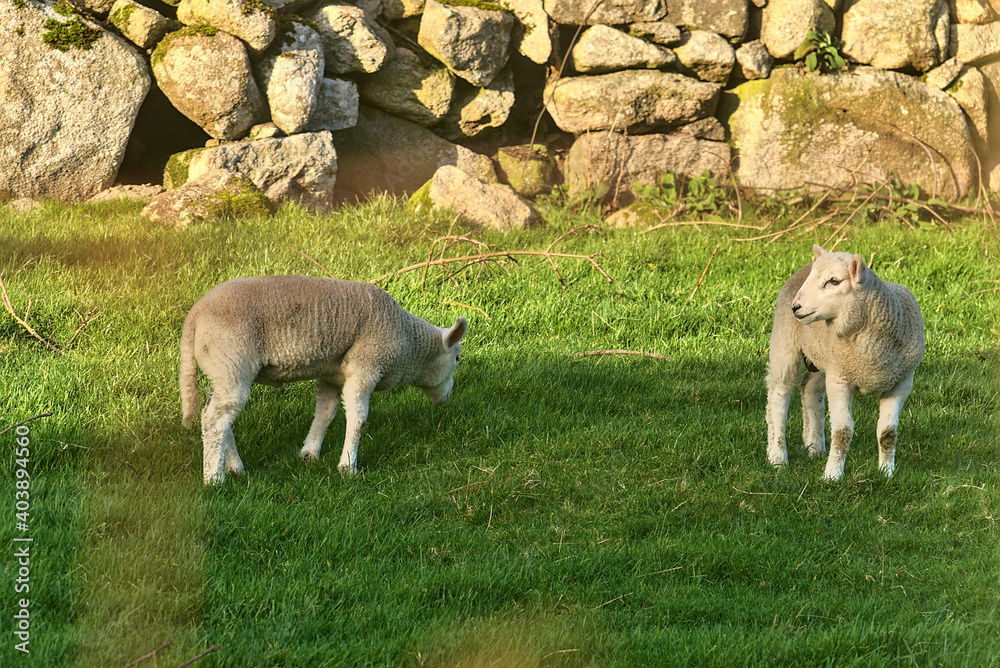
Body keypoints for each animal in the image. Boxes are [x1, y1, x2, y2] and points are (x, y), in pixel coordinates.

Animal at [179, 275, 468, 484]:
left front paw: (309, 454)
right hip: (232, 360)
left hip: (221, 369)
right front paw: (348, 467)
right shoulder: (366, 365)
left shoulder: (331, 375)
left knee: (218, 415)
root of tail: (194, 317)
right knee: (215, 420)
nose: (447, 398)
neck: (406, 339)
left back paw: (234, 468)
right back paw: (215, 479)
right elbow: (359, 420)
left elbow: (326, 413)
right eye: (457, 358)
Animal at [765, 245, 924, 480]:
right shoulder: (840, 380)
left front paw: (886, 473)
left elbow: (887, 432)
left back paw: (814, 447)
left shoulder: (901, 382)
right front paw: (832, 475)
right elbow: (842, 431)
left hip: (825, 358)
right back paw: (777, 457)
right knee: (778, 396)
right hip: (786, 343)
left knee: (809, 388)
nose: (796, 306)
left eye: (834, 281)